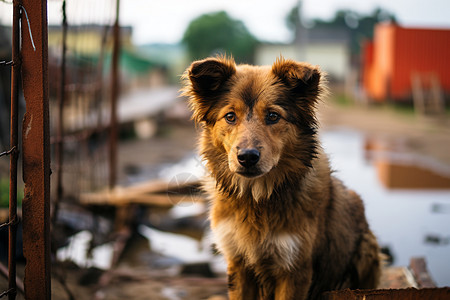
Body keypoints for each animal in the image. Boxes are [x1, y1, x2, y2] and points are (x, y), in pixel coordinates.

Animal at [181, 56, 382, 300]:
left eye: (273, 116)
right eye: (230, 116)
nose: (247, 157)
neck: (256, 198)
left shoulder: (295, 269)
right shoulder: (238, 263)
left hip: (367, 249)